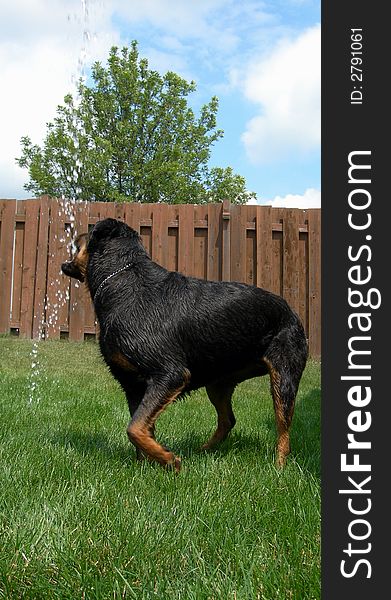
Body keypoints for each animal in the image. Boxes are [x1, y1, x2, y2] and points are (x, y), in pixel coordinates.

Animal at [61, 218, 308, 472]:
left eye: (88, 231)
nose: (74, 231)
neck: (123, 282)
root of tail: (292, 312)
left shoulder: (169, 375)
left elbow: (134, 429)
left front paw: (170, 460)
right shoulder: (132, 385)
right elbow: (142, 427)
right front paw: (148, 465)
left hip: (284, 377)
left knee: (283, 428)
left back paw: (278, 467)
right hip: (218, 382)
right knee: (228, 420)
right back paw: (203, 450)